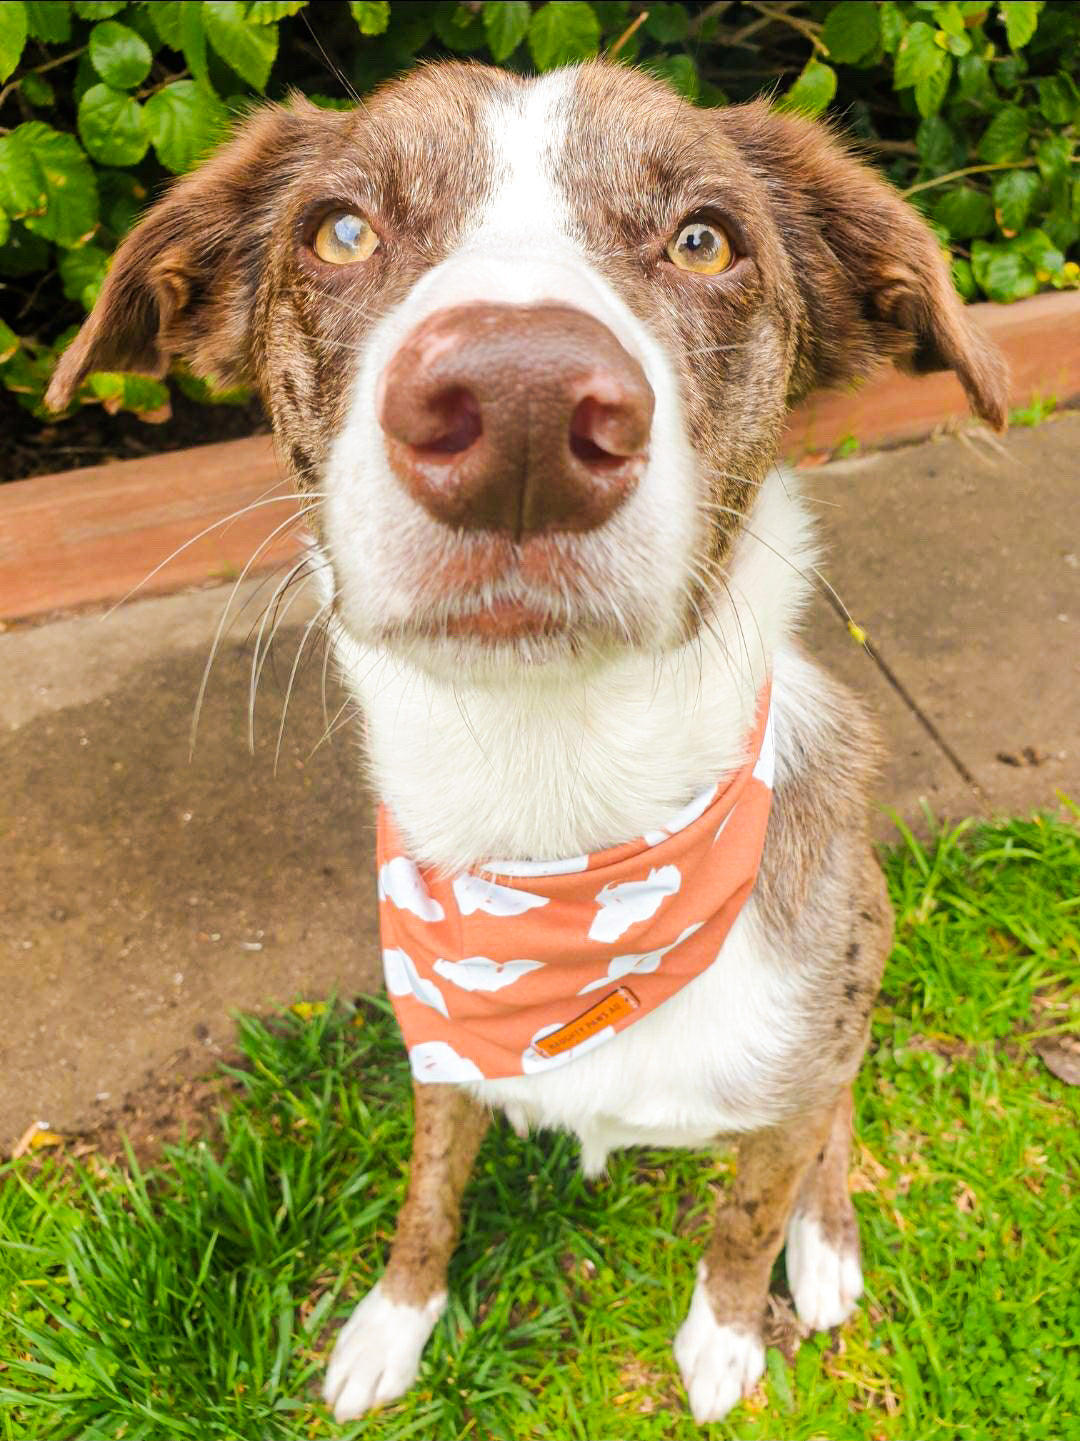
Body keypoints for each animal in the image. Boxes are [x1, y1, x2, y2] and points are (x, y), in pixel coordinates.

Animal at [48, 59, 1009, 1429]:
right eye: (340, 230)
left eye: (705, 239)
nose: (518, 407)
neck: (557, 817)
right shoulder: (442, 1049)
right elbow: (428, 1192)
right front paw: (393, 1321)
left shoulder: (798, 1055)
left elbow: (747, 1211)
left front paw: (725, 1335)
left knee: (829, 1121)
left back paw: (823, 1249)